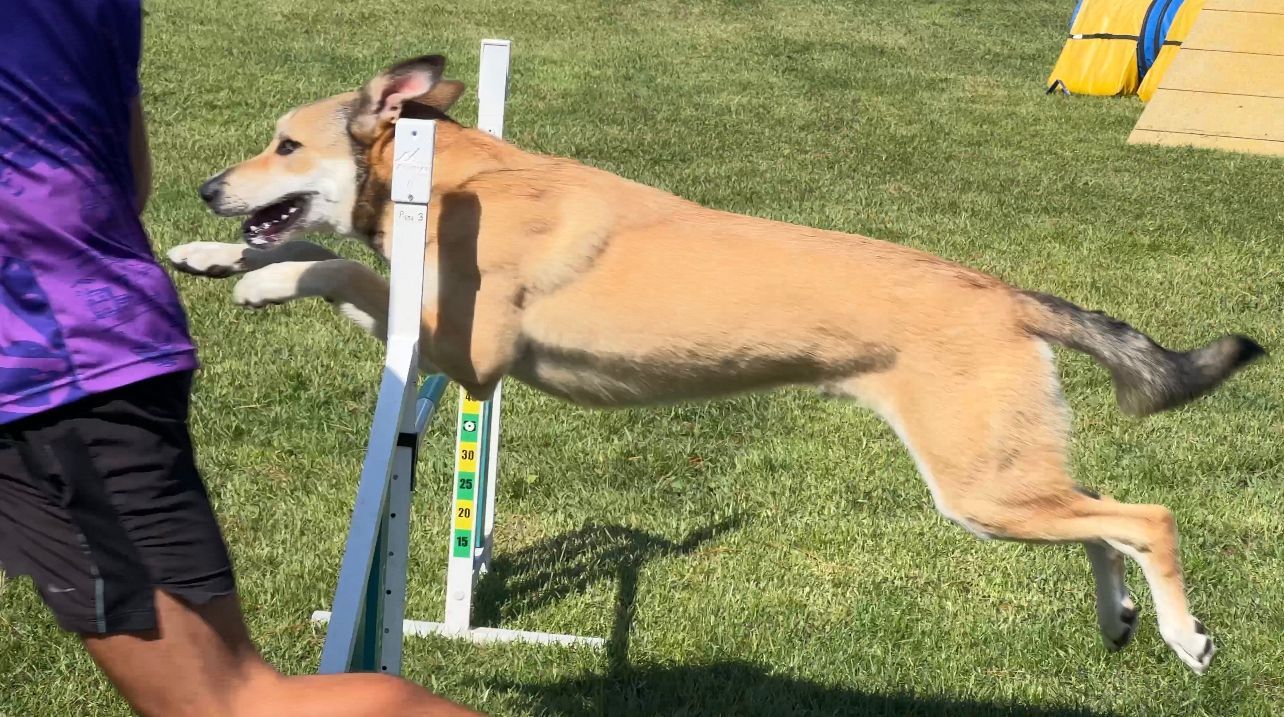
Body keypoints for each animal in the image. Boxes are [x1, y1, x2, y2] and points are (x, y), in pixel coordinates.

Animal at [170, 54, 1263, 673]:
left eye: (285, 144)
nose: (208, 187)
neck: (452, 177)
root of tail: (1003, 291)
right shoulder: (443, 343)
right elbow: (316, 257)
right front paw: (211, 256)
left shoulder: (464, 354)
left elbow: (338, 267)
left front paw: (266, 281)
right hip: (1001, 478)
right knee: (1103, 515)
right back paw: (1120, 622)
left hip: (981, 486)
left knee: (1147, 517)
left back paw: (1187, 637)